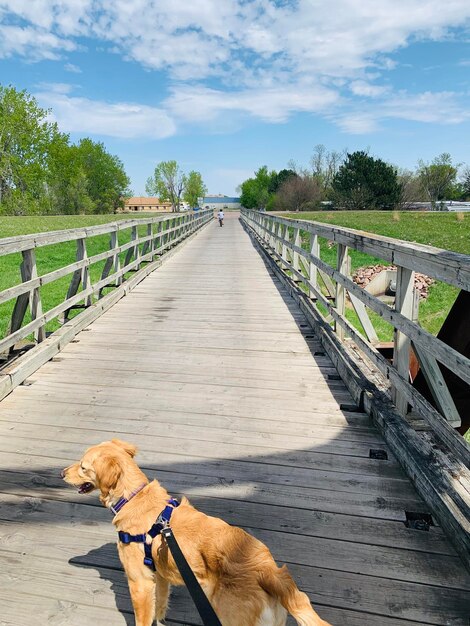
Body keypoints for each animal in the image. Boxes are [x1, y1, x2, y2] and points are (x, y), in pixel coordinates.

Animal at [62, 438, 332, 624]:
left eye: (84, 467)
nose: (62, 473)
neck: (134, 497)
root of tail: (267, 570)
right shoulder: (160, 576)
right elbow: (160, 608)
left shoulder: (139, 583)